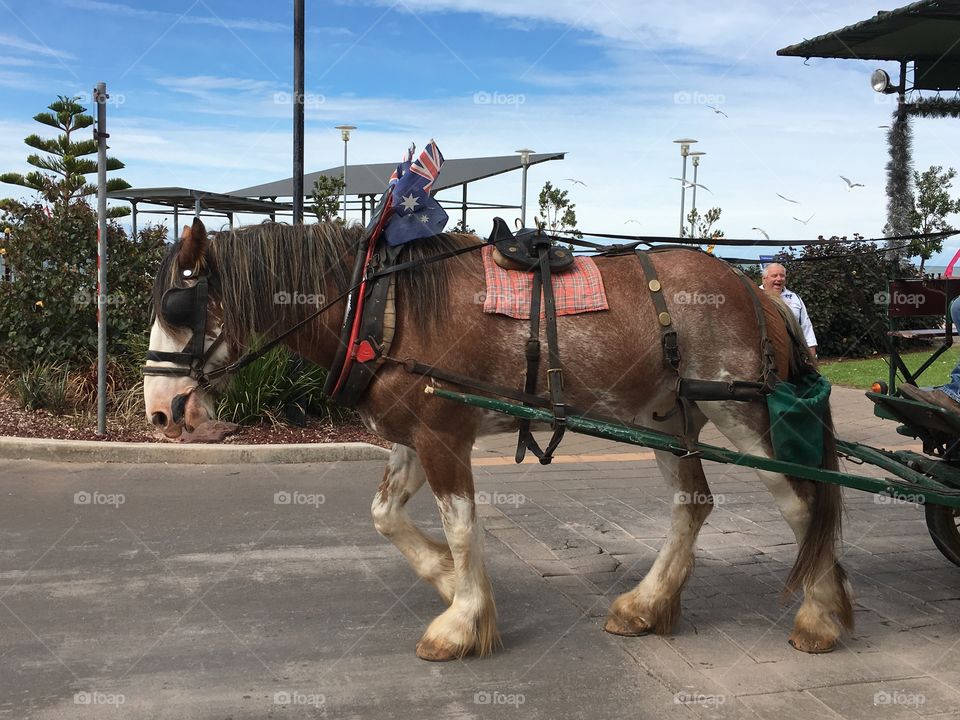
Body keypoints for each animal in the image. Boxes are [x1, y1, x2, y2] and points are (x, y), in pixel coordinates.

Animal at [144, 221, 856, 664]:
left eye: (179, 308)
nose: (158, 411)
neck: (386, 304)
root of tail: (754, 291)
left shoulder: (443, 435)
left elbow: (461, 527)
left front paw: (462, 621)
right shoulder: (413, 434)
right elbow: (384, 516)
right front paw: (445, 580)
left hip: (742, 414)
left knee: (802, 504)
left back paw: (820, 615)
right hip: (666, 419)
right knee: (693, 506)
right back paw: (647, 604)